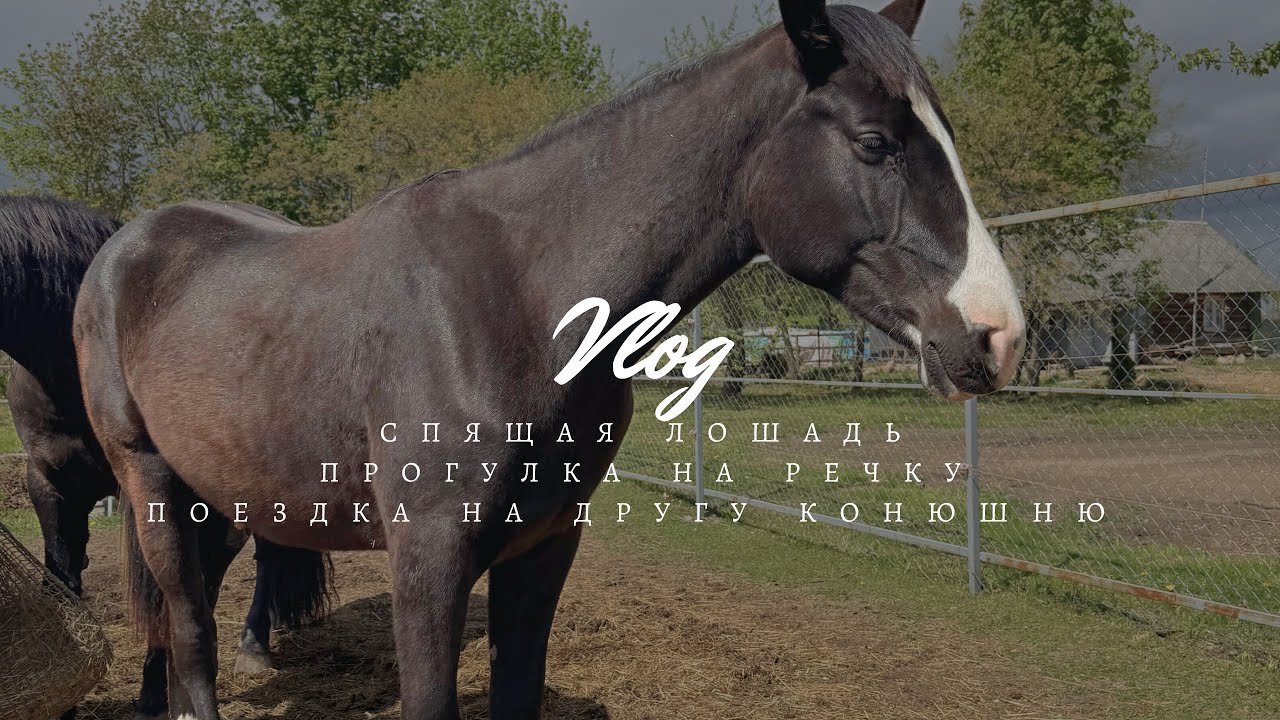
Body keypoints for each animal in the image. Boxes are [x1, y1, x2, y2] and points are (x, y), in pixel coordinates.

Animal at [73, 1, 1026, 718]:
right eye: (874, 143)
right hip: (152, 481)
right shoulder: (429, 559)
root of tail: (128, 246)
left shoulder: (543, 546)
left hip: (227, 494)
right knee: (189, 630)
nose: (999, 334)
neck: (518, 299)